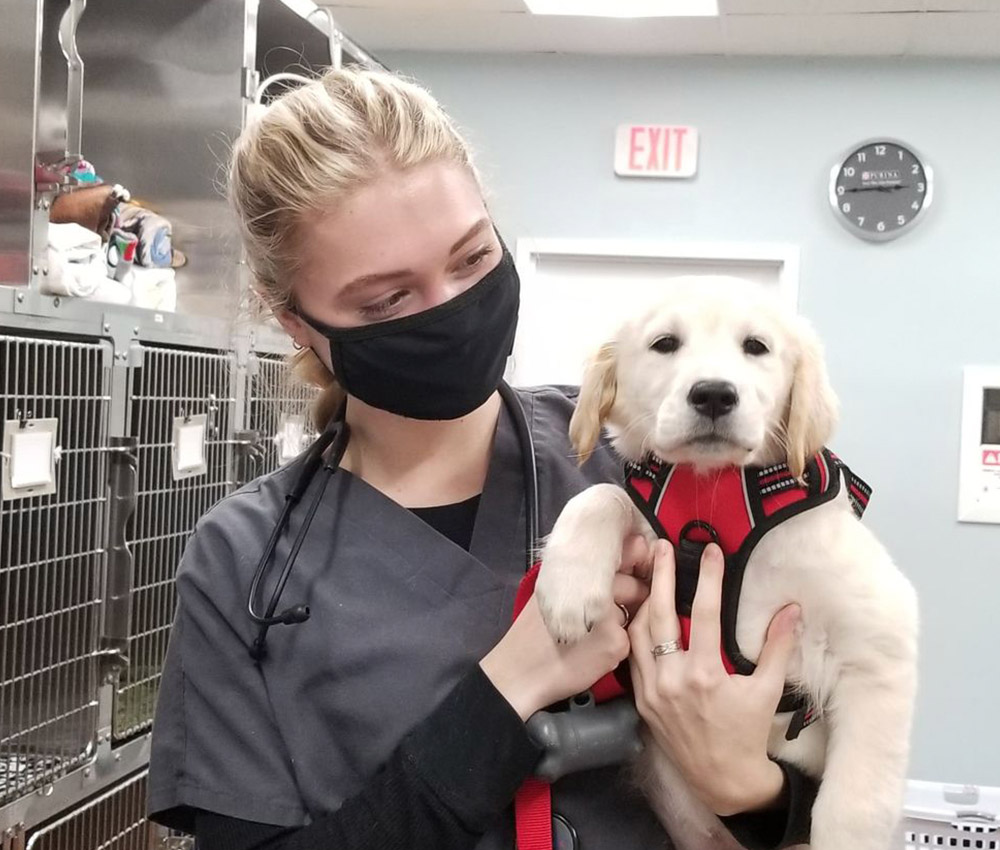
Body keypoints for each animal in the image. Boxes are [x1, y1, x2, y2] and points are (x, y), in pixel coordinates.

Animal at [536, 276, 916, 848]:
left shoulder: (880, 647)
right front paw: (568, 586)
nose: (714, 393)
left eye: (755, 347)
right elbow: (603, 492)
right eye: (665, 344)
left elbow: (854, 805)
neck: (712, 492)